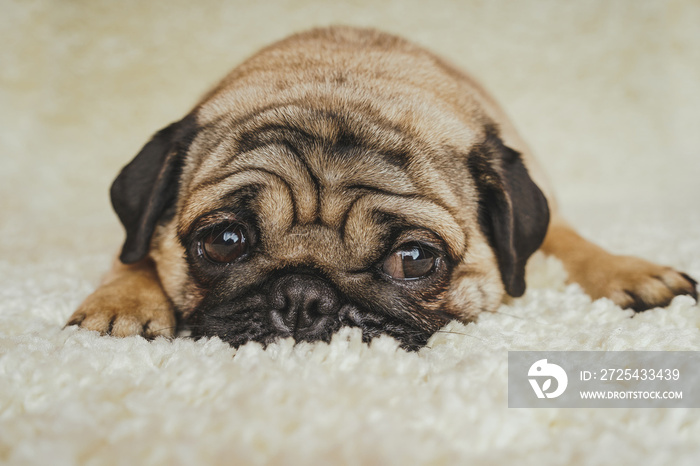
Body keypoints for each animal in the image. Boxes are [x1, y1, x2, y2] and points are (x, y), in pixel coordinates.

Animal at [64, 26, 696, 350]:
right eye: (224, 241)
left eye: (413, 258)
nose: (302, 296)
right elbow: (134, 253)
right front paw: (123, 302)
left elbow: (571, 242)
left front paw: (629, 272)